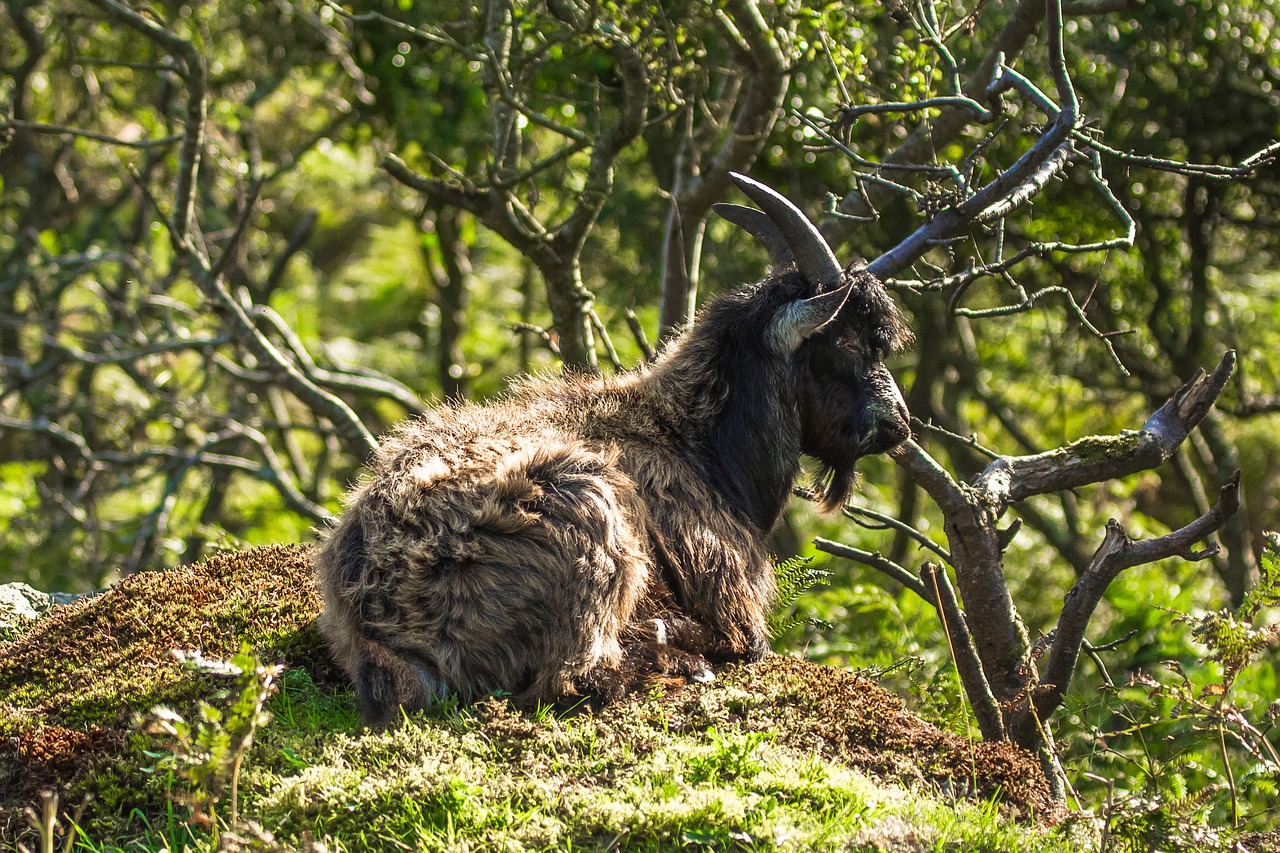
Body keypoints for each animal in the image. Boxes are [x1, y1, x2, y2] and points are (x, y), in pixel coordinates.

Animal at [320, 174, 921, 722]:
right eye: (847, 341)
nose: (899, 424)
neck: (695, 443)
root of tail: (386, 615)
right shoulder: (724, 586)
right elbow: (747, 643)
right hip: (589, 509)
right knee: (573, 678)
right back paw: (671, 649)